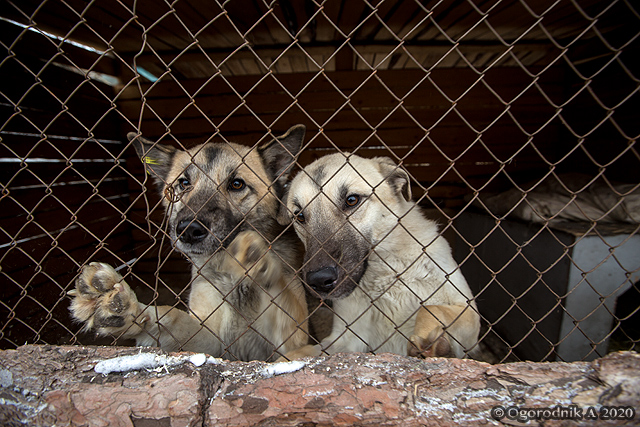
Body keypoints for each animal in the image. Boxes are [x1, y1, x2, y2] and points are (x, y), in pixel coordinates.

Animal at [69, 124, 310, 362]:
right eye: (184, 183)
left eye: (236, 184)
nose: (189, 230)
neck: (231, 278)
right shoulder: (210, 339)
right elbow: (170, 318)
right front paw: (126, 307)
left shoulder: (294, 338)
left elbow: (281, 296)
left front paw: (254, 258)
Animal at [278, 154, 478, 362]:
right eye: (300, 216)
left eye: (352, 200)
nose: (319, 281)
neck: (385, 274)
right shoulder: (345, 338)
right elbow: (301, 353)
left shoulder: (468, 313)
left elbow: (430, 308)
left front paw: (431, 343)